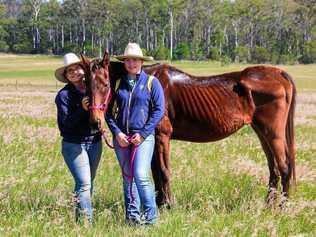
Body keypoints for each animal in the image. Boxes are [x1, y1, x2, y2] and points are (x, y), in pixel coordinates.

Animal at [81, 51, 296, 209]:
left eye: (105, 84)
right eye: (87, 85)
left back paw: (282, 207)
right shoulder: (152, 138)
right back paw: (268, 205)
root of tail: (279, 74)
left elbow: (164, 171)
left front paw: (169, 205)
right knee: (274, 169)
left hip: (273, 133)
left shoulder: (162, 136)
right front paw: (160, 204)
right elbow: (155, 171)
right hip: (261, 132)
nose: (93, 122)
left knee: (284, 166)